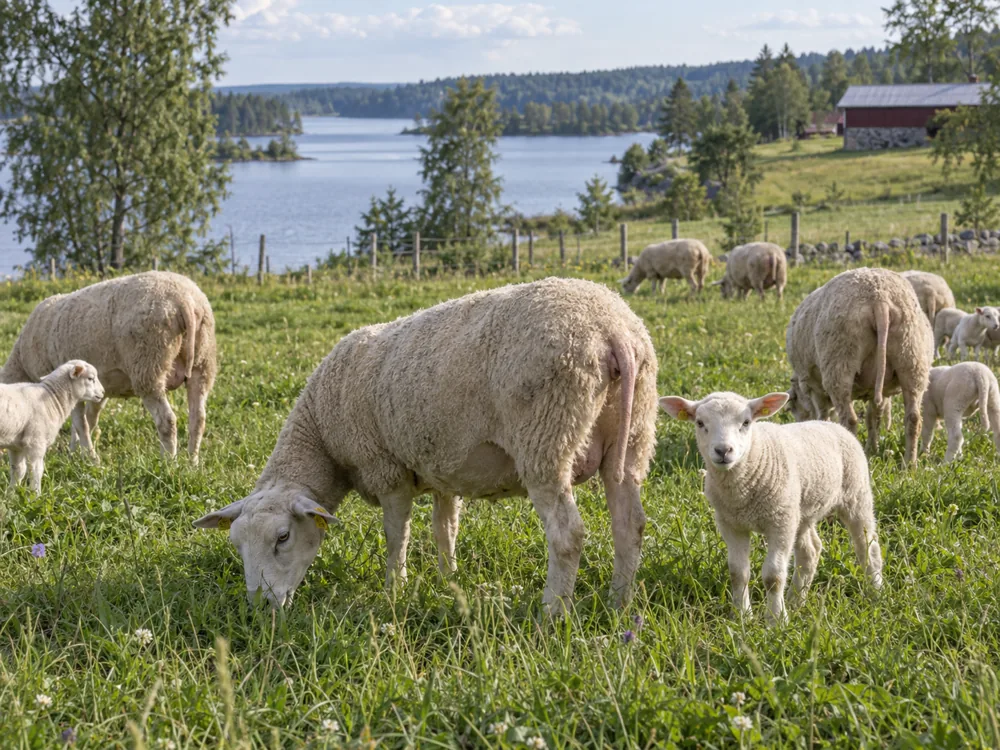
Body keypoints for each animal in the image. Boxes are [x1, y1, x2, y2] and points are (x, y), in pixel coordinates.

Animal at [0, 271, 217, 462]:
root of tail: (185, 300)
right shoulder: (98, 390)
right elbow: (88, 421)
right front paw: (76, 453)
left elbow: (80, 423)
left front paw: (89, 458)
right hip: (202, 363)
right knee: (198, 418)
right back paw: (192, 463)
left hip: (149, 365)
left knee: (167, 420)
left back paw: (169, 463)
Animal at [0, 361, 105, 492]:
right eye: (90, 378)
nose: (103, 392)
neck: (51, 399)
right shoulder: (36, 442)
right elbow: (36, 471)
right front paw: (35, 494)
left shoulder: (15, 445)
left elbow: (18, 471)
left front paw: (11, 494)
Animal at [194, 277, 658, 613]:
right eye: (236, 544)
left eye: (283, 537)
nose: (260, 608)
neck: (322, 434)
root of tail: (612, 331)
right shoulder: (443, 471)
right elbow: (444, 529)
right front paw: (448, 581)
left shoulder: (386, 468)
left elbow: (395, 535)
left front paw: (394, 589)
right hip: (634, 434)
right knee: (629, 524)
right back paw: (620, 603)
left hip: (546, 435)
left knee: (567, 534)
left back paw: (553, 613)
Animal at [659, 391, 883, 624]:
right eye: (700, 423)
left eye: (746, 422)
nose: (723, 450)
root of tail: (830, 424)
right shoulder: (731, 524)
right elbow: (738, 573)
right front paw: (742, 616)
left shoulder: (780, 523)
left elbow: (773, 576)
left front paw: (776, 620)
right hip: (800, 510)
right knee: (810, 551)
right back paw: (796, 601)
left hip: (855, 494)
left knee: (867, 545)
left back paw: (875, 591)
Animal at [785, 268, 932, 465]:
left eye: (793, 407)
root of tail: (880, 299)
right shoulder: (878, 390)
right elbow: (873, 417)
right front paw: (872, 448)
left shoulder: (815, 388)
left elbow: (824, 415)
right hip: (912, 359)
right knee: (913, 418)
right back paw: (909, 464)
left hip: (839, 362)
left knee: (850, 420)